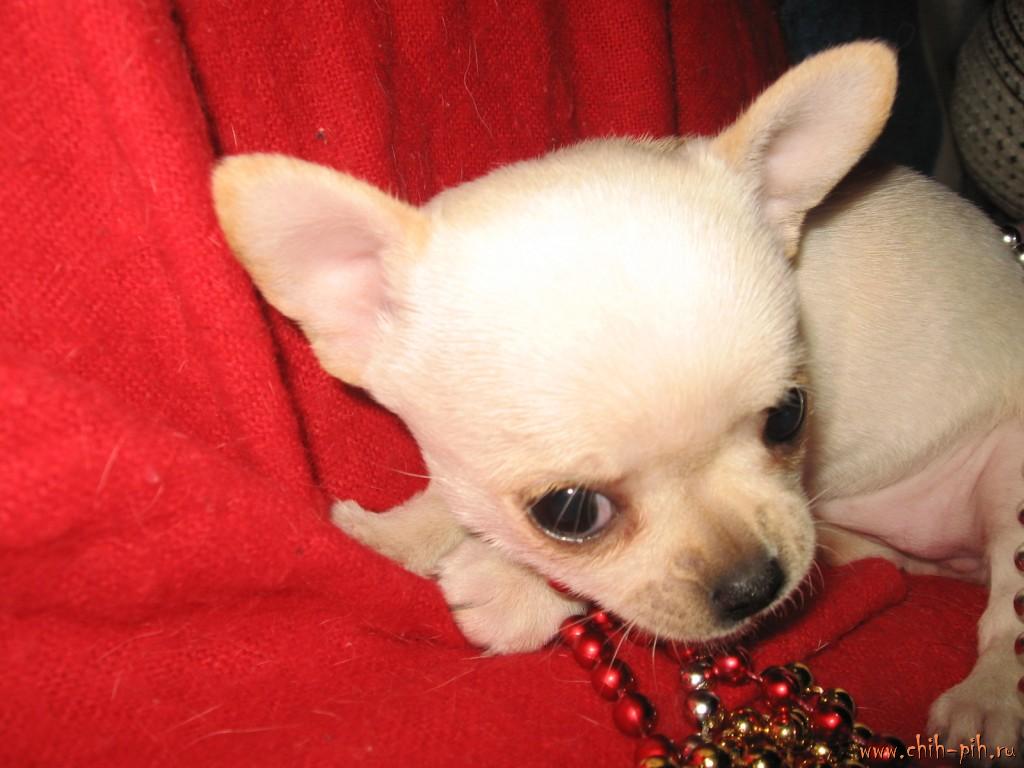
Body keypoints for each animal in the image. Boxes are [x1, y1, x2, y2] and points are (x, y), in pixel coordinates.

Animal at [211, 42, 1024, 756]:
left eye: (790, 416)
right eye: (569, 512)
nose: (755, 585)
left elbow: (611, 595)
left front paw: (506, 588)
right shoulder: (471, 471)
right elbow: (450, 496)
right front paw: (393, 537)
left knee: (1007, 610)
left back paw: (989, 696)